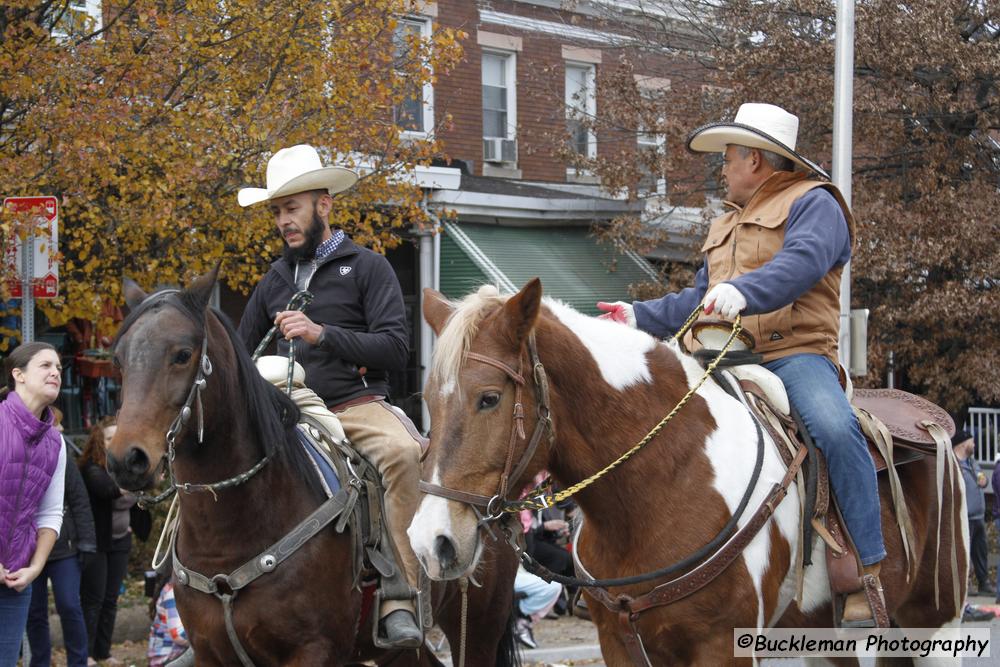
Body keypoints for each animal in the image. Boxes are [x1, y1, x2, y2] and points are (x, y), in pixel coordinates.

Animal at [106, 272, 520, 667]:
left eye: (182, 354)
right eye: (119, 359)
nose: (127, 459)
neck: (230, 533)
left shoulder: (313, 649)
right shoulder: (210, 654)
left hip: (479, 628)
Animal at [408, 280, 968, 667]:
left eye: (489, 398)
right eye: (429, 400)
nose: (430, 541)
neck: (656, 491)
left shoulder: (724, 647)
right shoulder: (620, 643)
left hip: (935, 628)